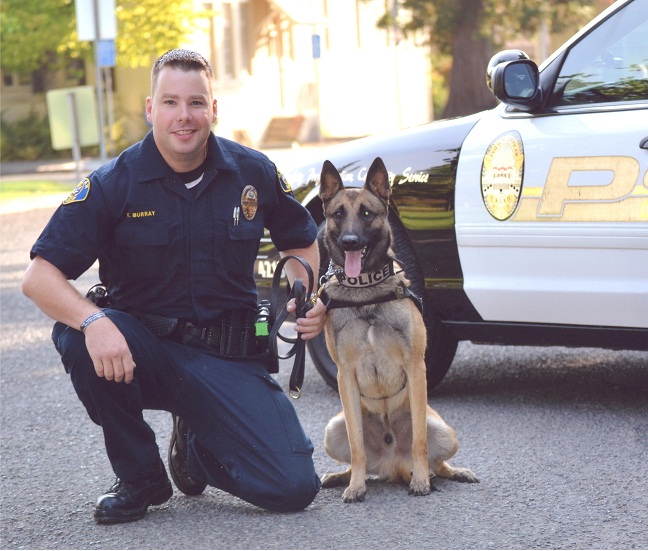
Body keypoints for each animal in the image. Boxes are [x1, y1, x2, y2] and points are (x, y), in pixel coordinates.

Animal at [318, 157, 478, 502]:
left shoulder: (416, 367)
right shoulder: (345, 376)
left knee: (437, 462)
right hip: (332, 428)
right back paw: (341, 477)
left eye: (367, 213)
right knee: (358, 456)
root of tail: (392, 466)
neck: (366, 293)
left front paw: (422, 483)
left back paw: (447, 473)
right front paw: (356, 487)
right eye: (338, 214)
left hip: (445, 432)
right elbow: (357, 445)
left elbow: (419, 441)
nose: (350, 242)